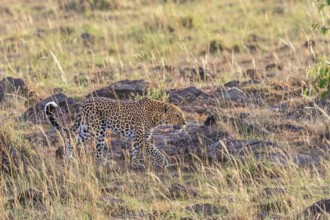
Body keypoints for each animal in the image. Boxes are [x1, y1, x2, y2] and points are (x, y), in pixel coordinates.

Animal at [44, 96, 186, 168]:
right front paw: (164, 162)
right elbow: (153, 149)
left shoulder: (140, 138)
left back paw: (69, 158)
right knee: (98, 152)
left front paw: (135, 164)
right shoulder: (139, 137)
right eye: (177, 115)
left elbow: (136, 151)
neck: (155, 117)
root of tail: (85, 102)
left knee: (72, 140)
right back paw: (104, 163)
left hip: (86, 129)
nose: (185, 123)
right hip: (99, 129)